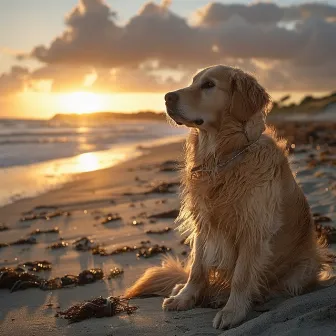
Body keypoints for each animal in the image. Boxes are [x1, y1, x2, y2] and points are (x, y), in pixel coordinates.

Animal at [124, 65, 332, 328]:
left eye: (209, 85)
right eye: (193, 81)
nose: (167, 97)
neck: (225, 156)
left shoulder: (253, 227)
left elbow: (241, 277)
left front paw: (233, 311)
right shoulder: (203, 222)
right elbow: (197, 268)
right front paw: (185, 297)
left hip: (300, 271)